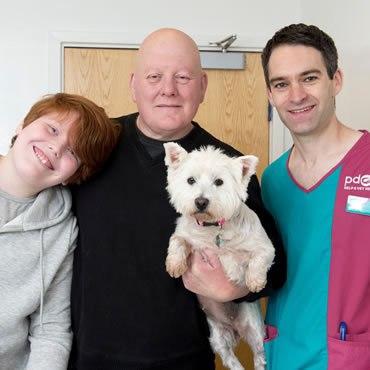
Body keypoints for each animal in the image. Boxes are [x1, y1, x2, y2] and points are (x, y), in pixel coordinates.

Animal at [164, 143, 274, 370]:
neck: (212, 228)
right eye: (190, 180)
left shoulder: (265, 247)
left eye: (219, 182)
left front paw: (254, 281)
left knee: (260, 355)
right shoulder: (185, 235)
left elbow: (254, 259)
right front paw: (175, 265)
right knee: (231, 360)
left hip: (255, 330)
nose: (201, 201)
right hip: (217, 337)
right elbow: (178, 241)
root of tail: (234, 328)